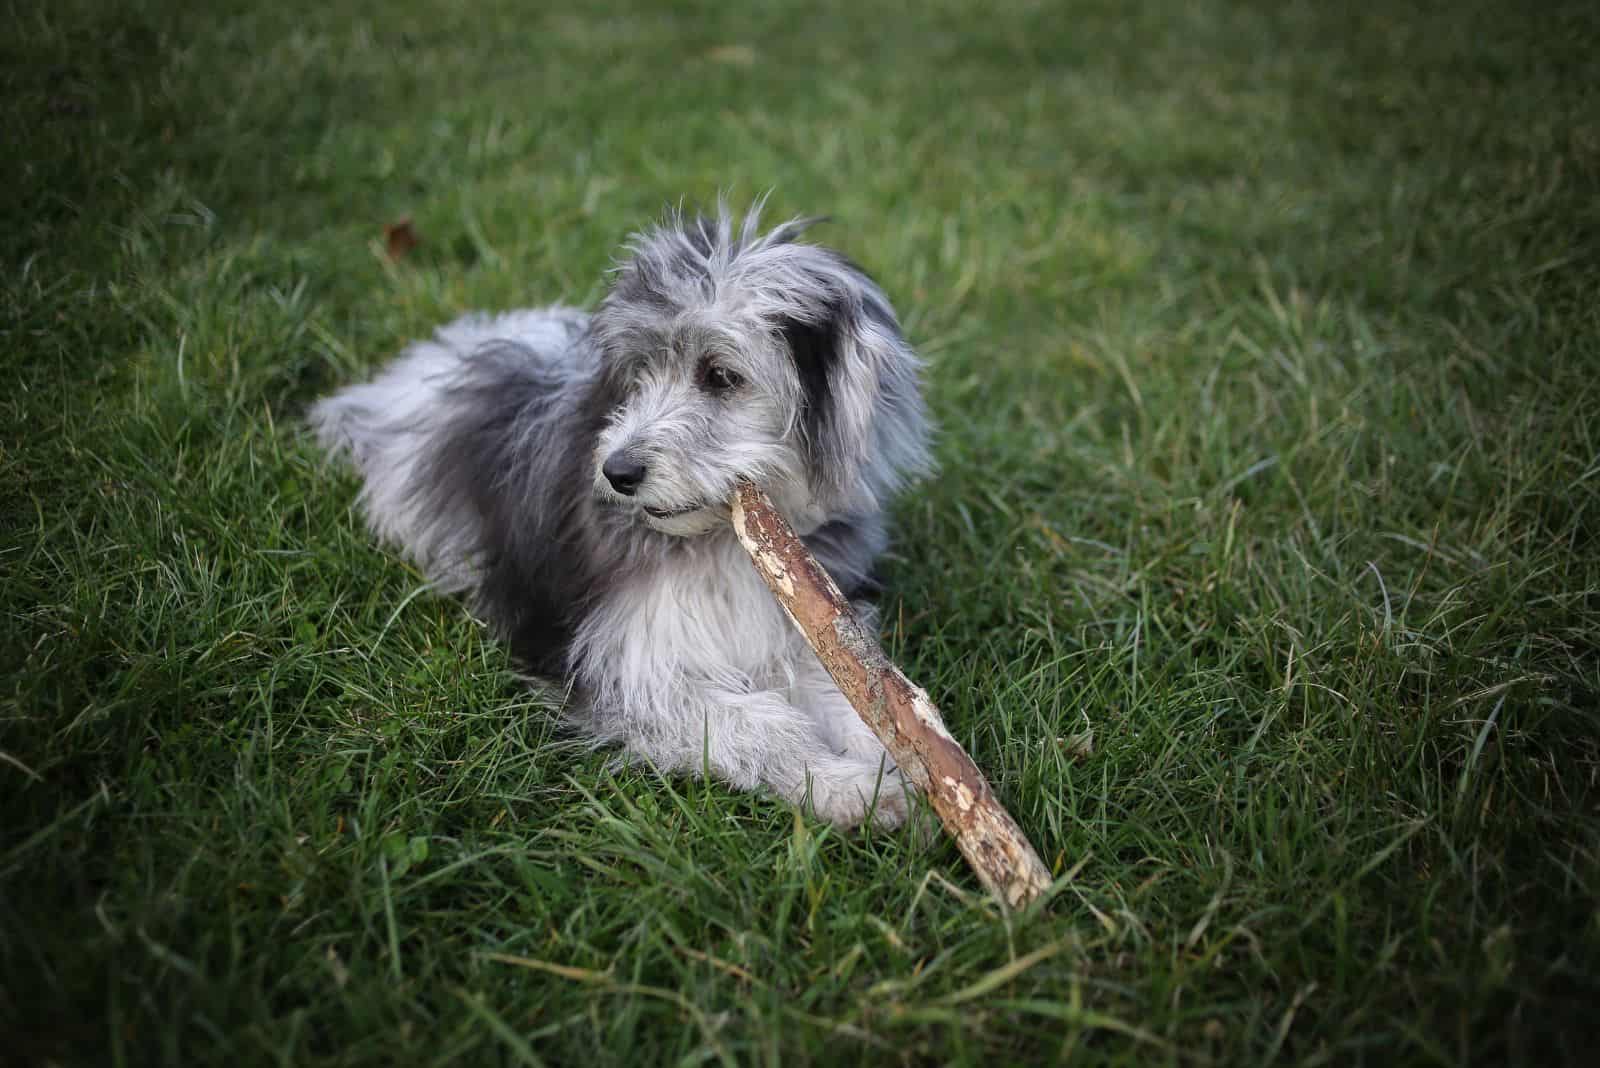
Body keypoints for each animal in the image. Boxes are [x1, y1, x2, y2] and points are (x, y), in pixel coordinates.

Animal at [310, 204, 934, 831]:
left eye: (720, 376)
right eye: (639, 375)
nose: (617, 472)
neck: (718, 543)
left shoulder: (800, 633)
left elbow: (858, 701)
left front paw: (901, 768)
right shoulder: (623, 664)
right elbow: (759, 725)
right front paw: (848, 787)